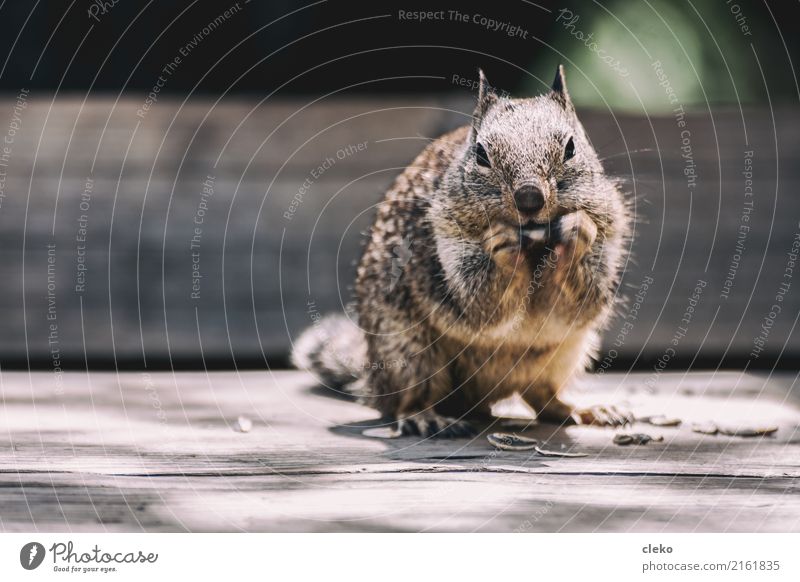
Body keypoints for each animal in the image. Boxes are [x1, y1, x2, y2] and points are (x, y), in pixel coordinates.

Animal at [294, 65, 632, 438]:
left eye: (571, 147)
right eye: (481, 154)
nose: (529, 198)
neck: (534, 245)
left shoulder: (607, 232)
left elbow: (579, 302)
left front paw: (576, 231)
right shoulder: (446, 242)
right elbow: (478, 304)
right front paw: (502, 244)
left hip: (565, 353)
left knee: (541, 397)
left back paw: (585, 409)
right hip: (409, 351)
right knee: (405, 400)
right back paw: (425, 416)